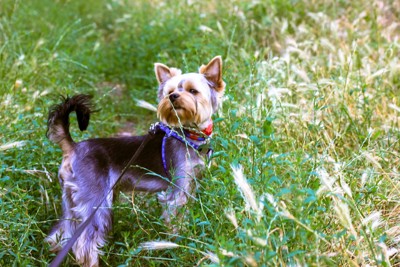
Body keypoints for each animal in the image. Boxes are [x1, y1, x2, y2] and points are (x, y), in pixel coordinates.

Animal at [45, 55, 225, 266]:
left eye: (193, 91)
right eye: (170, 92)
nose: (173, 97)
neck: (188, 133)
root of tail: (73, 147)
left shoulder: (192, 183)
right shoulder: (177, 191)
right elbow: (176, 220)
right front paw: (179, 243)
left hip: (70, 198)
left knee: (62, 233)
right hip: (96, 200)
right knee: (84, 243)